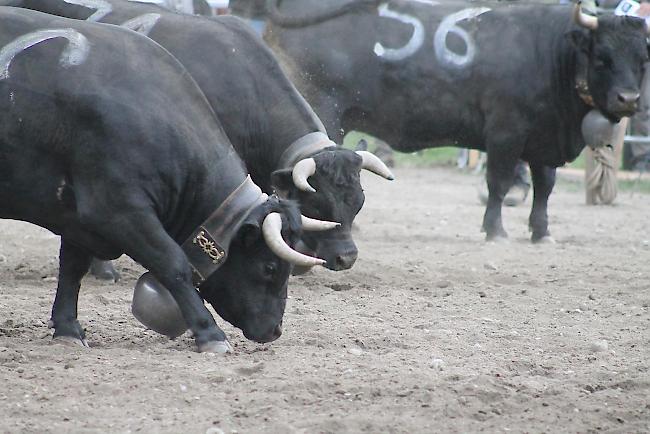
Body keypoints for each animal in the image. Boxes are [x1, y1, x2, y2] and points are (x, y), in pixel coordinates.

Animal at [0, 5, 334, 352]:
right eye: (269, 268)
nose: (274, 330)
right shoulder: (118, 211)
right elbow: (173, 263)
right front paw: (210, 333)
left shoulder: (77, 217)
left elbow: (71, 268)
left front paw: (67, 327)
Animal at [264, 0, 648, 242]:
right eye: (602, 57)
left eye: (643, 58)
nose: (629, 100)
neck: (549, 51)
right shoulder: (505, 133)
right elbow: (498, 182)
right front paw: (495, 230)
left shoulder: (543, 137)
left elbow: (545, 187)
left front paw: (541, 231)